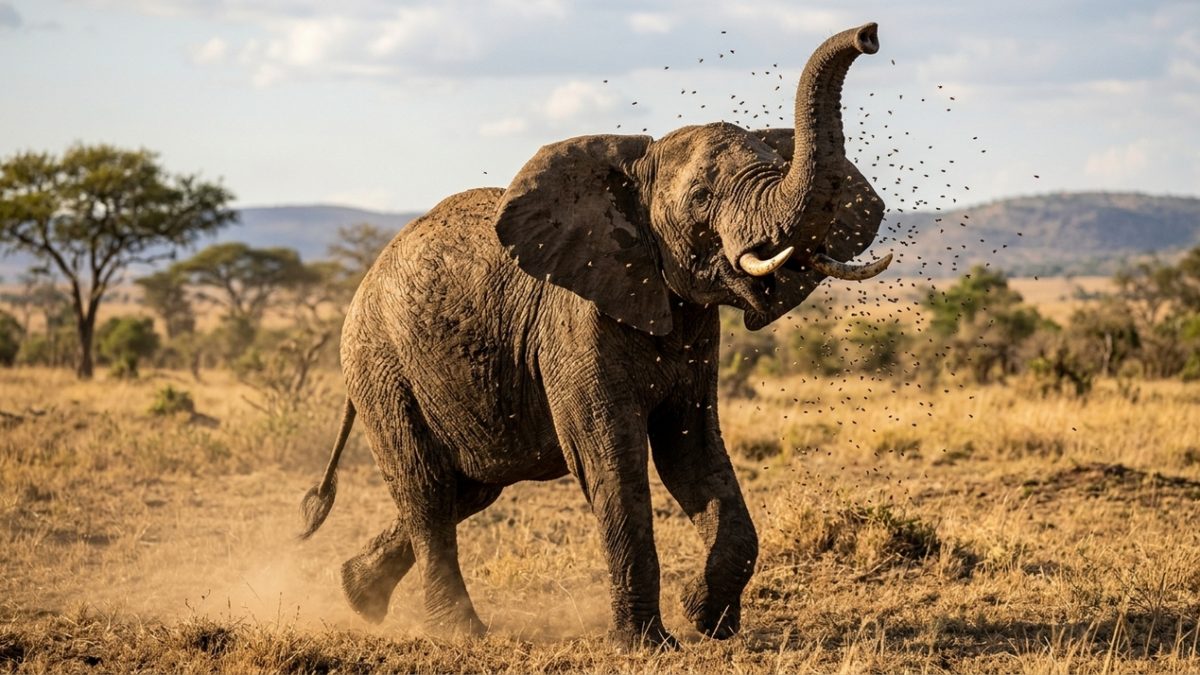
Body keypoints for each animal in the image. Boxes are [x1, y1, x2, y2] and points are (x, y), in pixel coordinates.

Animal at [300, 22, 890, 649]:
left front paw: (707, 621)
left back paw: (356, 595)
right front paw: (648, 645)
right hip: (382, 365)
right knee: (428, 490)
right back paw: (461, 634)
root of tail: (362, 285)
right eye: (701, 198)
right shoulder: (574, 321)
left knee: (470, 485)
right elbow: (609, 457)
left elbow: (693, 453)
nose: (869, 34)